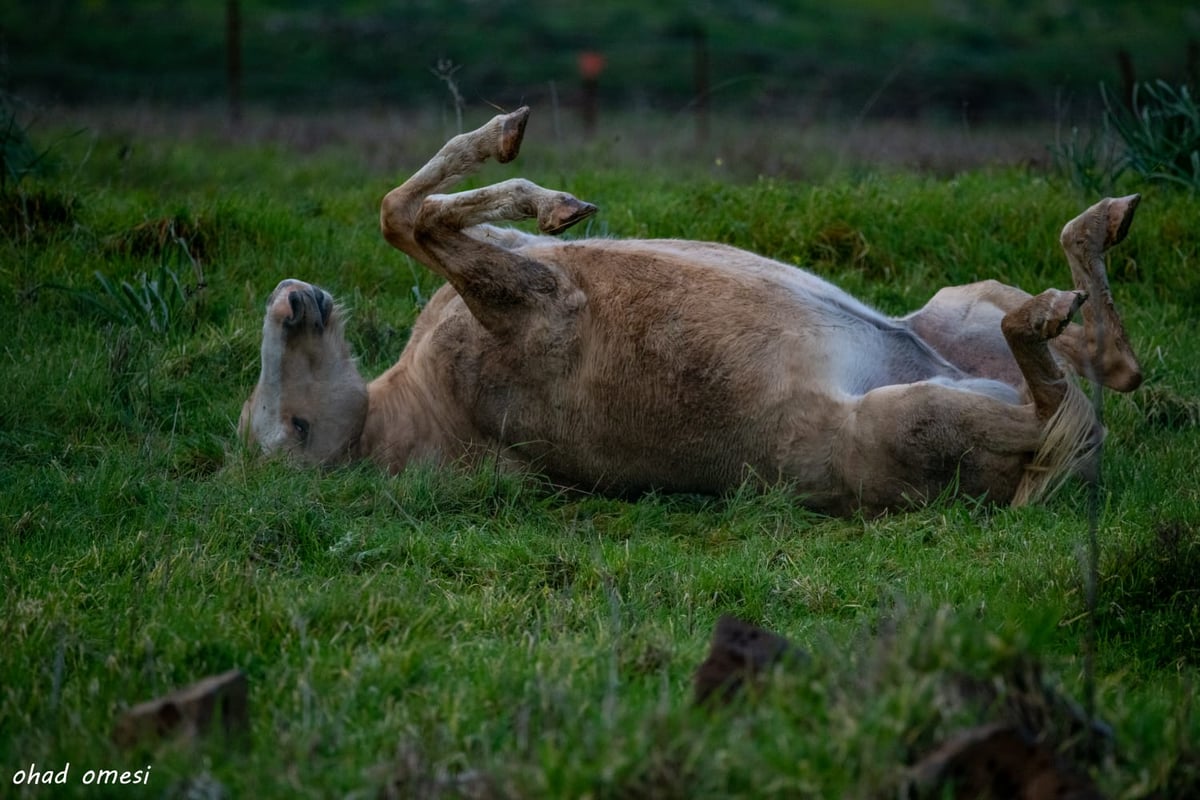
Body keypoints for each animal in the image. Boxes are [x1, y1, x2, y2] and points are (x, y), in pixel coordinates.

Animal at [236, 106, 1142, 515]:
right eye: (294, 431)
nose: (293, 301)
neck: (430, 398)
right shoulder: (529, 302)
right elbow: (406, 216)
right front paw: (527, 173)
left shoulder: (506, 264)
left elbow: (421, 208)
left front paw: (544, 189)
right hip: (917, 418)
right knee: (1063, 398)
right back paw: (1049, 309)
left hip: (955, 311)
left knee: (1104, 360)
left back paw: (1100, 227)